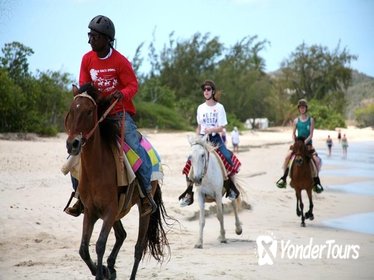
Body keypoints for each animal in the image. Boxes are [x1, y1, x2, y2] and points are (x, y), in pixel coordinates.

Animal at [64, 84, 172, 278]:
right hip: (117, 212)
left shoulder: (109, 211)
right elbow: (84, 250)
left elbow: (100, 245)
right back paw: (111, 266)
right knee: (122, 235)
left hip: (142, 210)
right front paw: (103, 270)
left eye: (90, 111)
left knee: (138, 248)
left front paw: (101, 272)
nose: (73, 144)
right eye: (71, 110)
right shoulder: (91, 211)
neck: (97, 169)